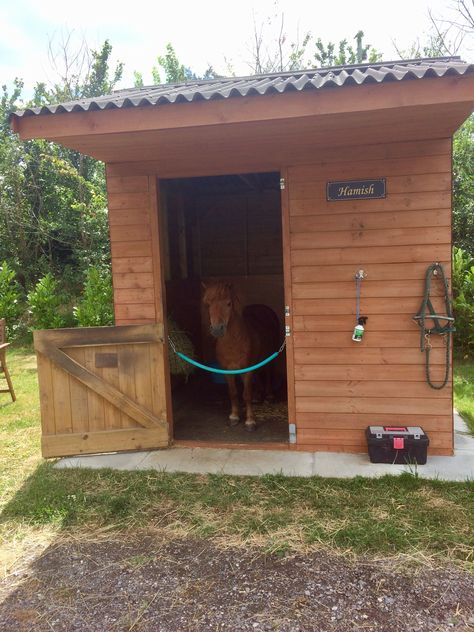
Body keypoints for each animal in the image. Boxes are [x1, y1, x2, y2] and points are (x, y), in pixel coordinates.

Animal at [201, 284, 282, 432]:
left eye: (228, 303)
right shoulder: (227, 371)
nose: (217, 329)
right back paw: (257, 395)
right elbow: (233, 393)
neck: (233, 343)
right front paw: (234, 417)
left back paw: (269, 395)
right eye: (207, 304)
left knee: (268, 373)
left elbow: (246, 394)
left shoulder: (247, 370)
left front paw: (250, 421)